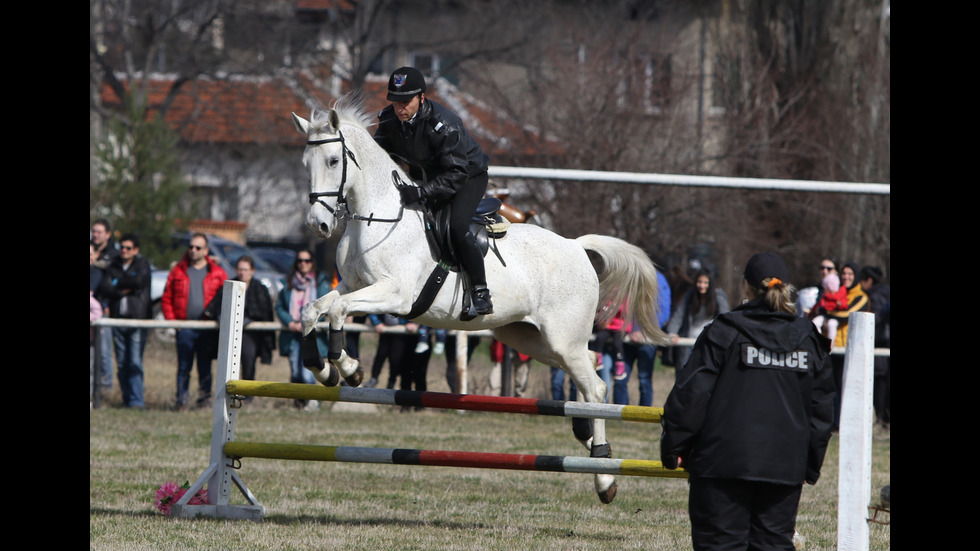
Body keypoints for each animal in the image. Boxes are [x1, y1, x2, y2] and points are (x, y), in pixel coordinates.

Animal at [292, 96, 672, 504]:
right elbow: (312, 309)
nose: (319, 225)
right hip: (528, 337)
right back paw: (586, 437)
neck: (378, 215)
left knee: (596, 386)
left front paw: (348, 369)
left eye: (334, 161)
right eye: (305, 164)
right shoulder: (353, 284)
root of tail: (576, 246)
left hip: (561, 338)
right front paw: (323, 368)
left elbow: (337, 310)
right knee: (589, 370)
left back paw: (603, 476)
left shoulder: (394, 295)